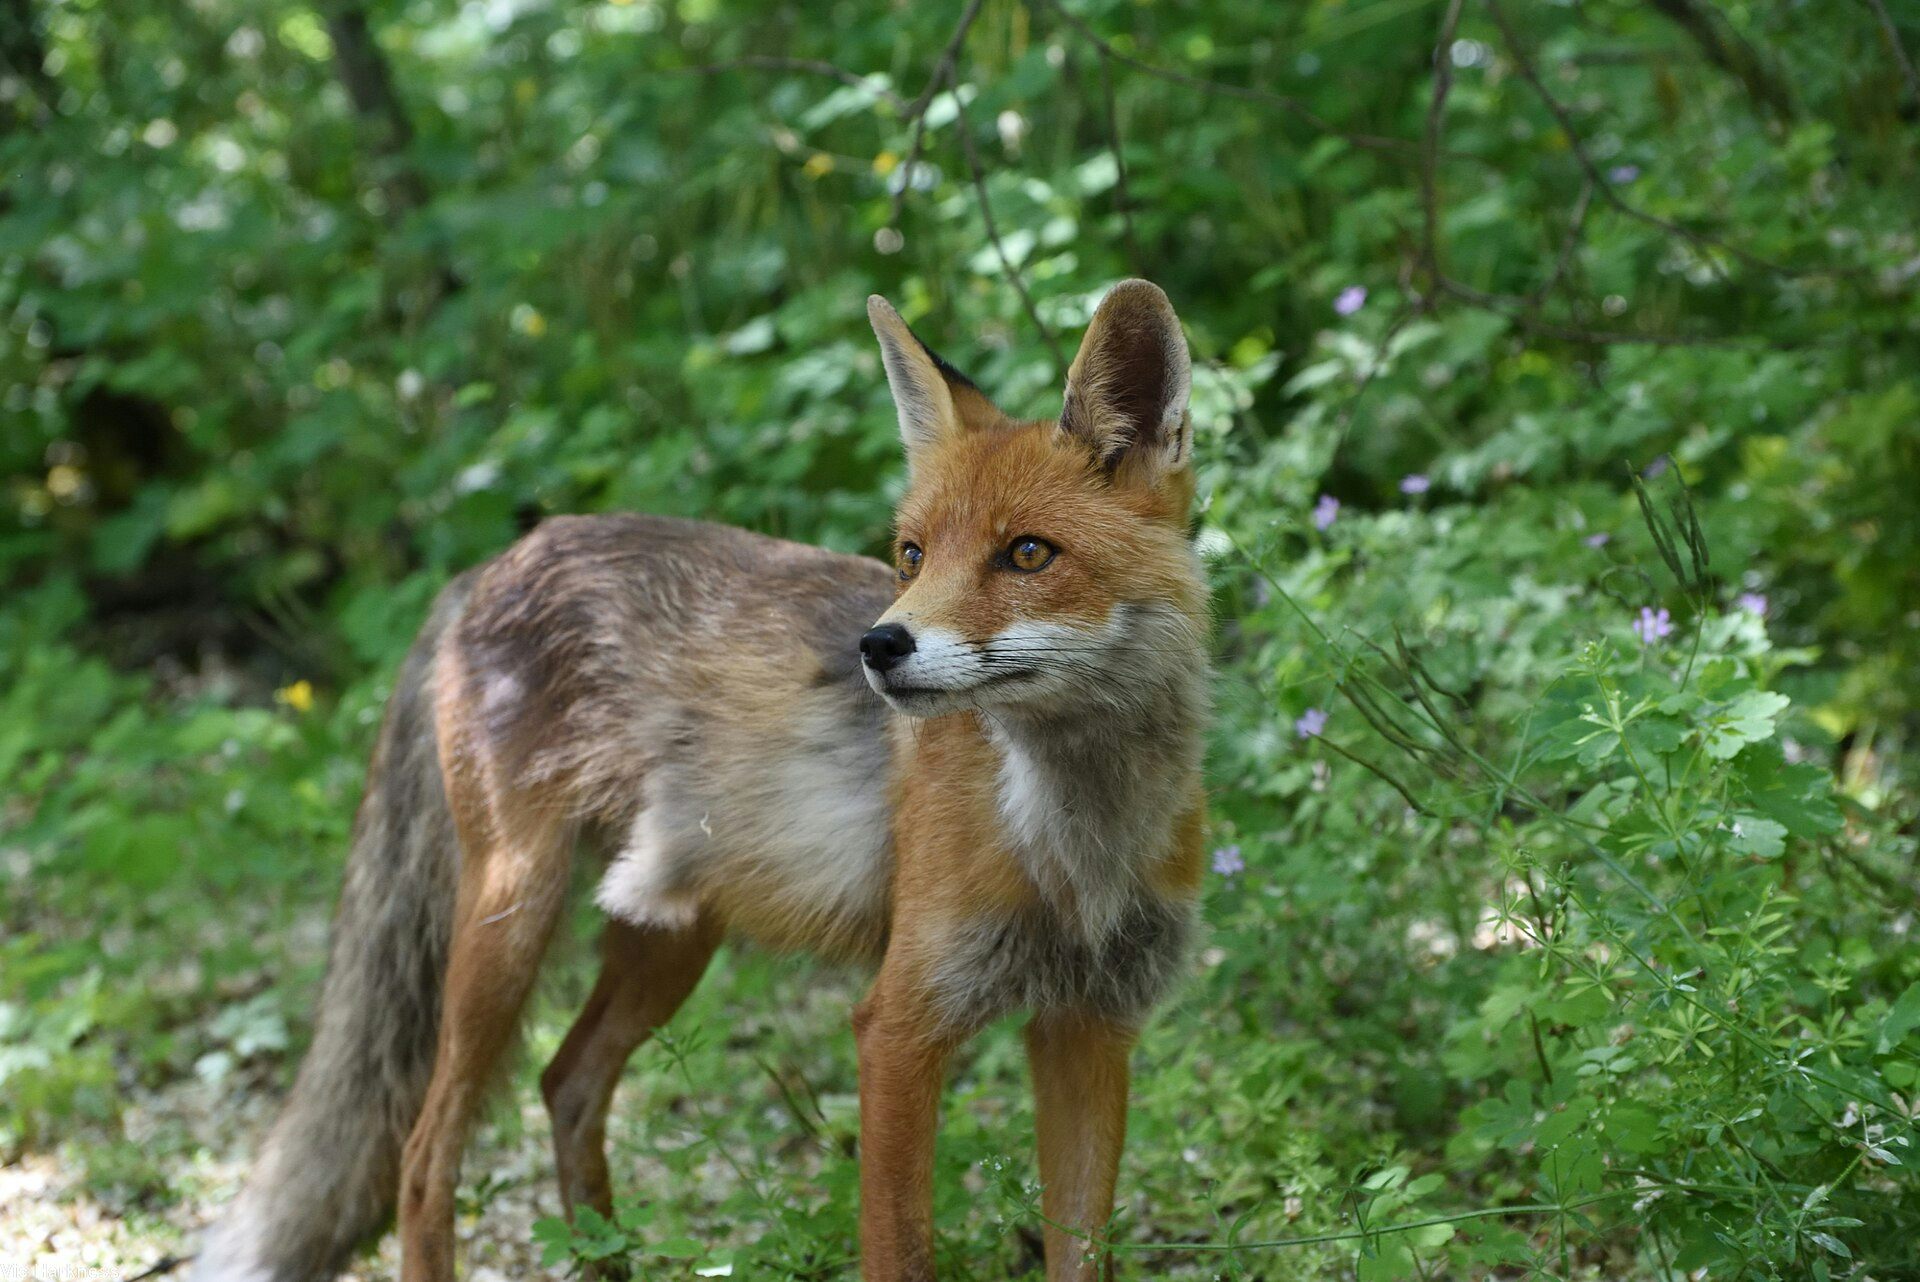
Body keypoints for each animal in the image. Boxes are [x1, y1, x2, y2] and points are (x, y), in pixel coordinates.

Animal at [190, 279, 1211, 1282]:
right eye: (914, 556)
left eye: (1028, 553)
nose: (878, 646)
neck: (1077, 848)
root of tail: (490, 564)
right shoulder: (899, 1025)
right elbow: (898, 1249)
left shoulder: (1092, 1026)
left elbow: (1082, 1248)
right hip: (509, 918)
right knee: (423, 1154)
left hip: (667, 933)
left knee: (565, 1083)